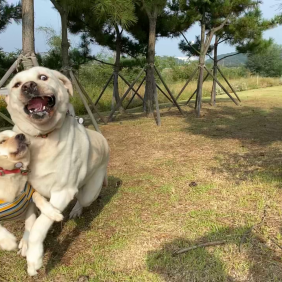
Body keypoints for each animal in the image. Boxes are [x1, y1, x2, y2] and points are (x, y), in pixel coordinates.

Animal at [5, 66, 109, 276]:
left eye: (43, 77)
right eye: (17, 84)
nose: (29, 86)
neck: (41, 138)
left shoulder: (62, 192)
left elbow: (40, 224)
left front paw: (34, 258)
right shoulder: (29, 190)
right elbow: (31, 219)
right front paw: (25, 243)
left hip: (90, 190)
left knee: (82, 197)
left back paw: (76, 209)